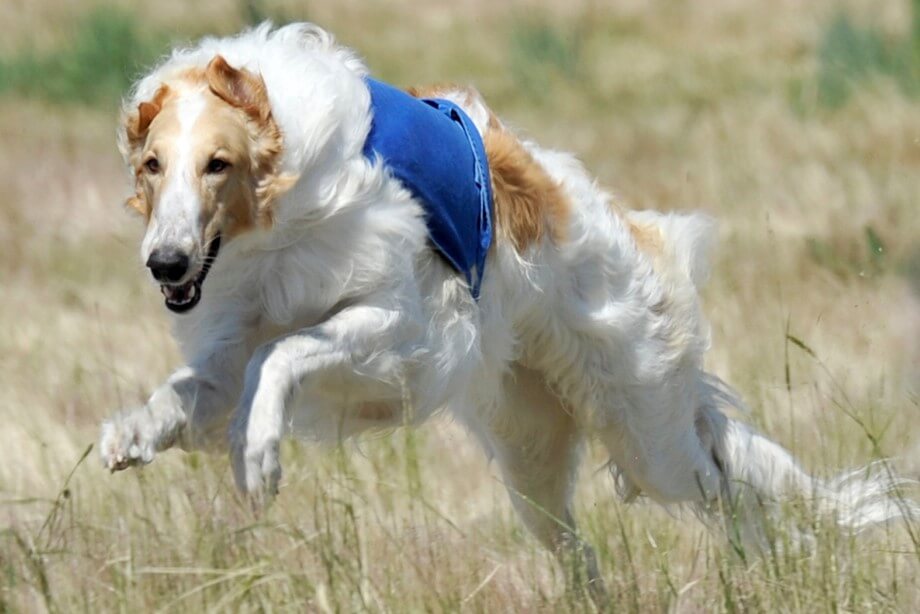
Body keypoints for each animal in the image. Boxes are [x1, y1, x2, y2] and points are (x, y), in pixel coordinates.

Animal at [97, 21, 916, 596]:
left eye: (218, 164)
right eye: (153, 165)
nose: (165, 264)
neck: (277, 216)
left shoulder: (406, 333)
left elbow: (283, 352)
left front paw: (257, 451)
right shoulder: (231, 339)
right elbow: (195, 389)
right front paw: (131, 434)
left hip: (648, 435)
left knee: (729, 486)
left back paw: (783, 563)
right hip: (532, 460)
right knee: (584, 554)